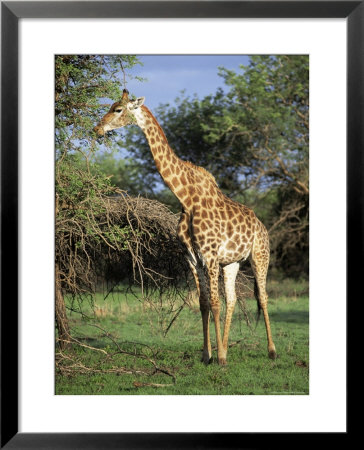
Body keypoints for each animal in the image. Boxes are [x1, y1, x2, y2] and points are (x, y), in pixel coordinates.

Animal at [94, 89, 276, 366]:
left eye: (117, 109)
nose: (97, 128)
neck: (186, 197)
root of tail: (263, 227)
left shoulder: (210, 255)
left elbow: (214, 302)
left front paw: (218, 358)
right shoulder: (192, 257)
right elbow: (203, 303)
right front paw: (208, 354)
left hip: (259, 255)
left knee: (263, 298)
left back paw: (271, 351)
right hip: (232, 263)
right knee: (233, 299)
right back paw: (227, 349)